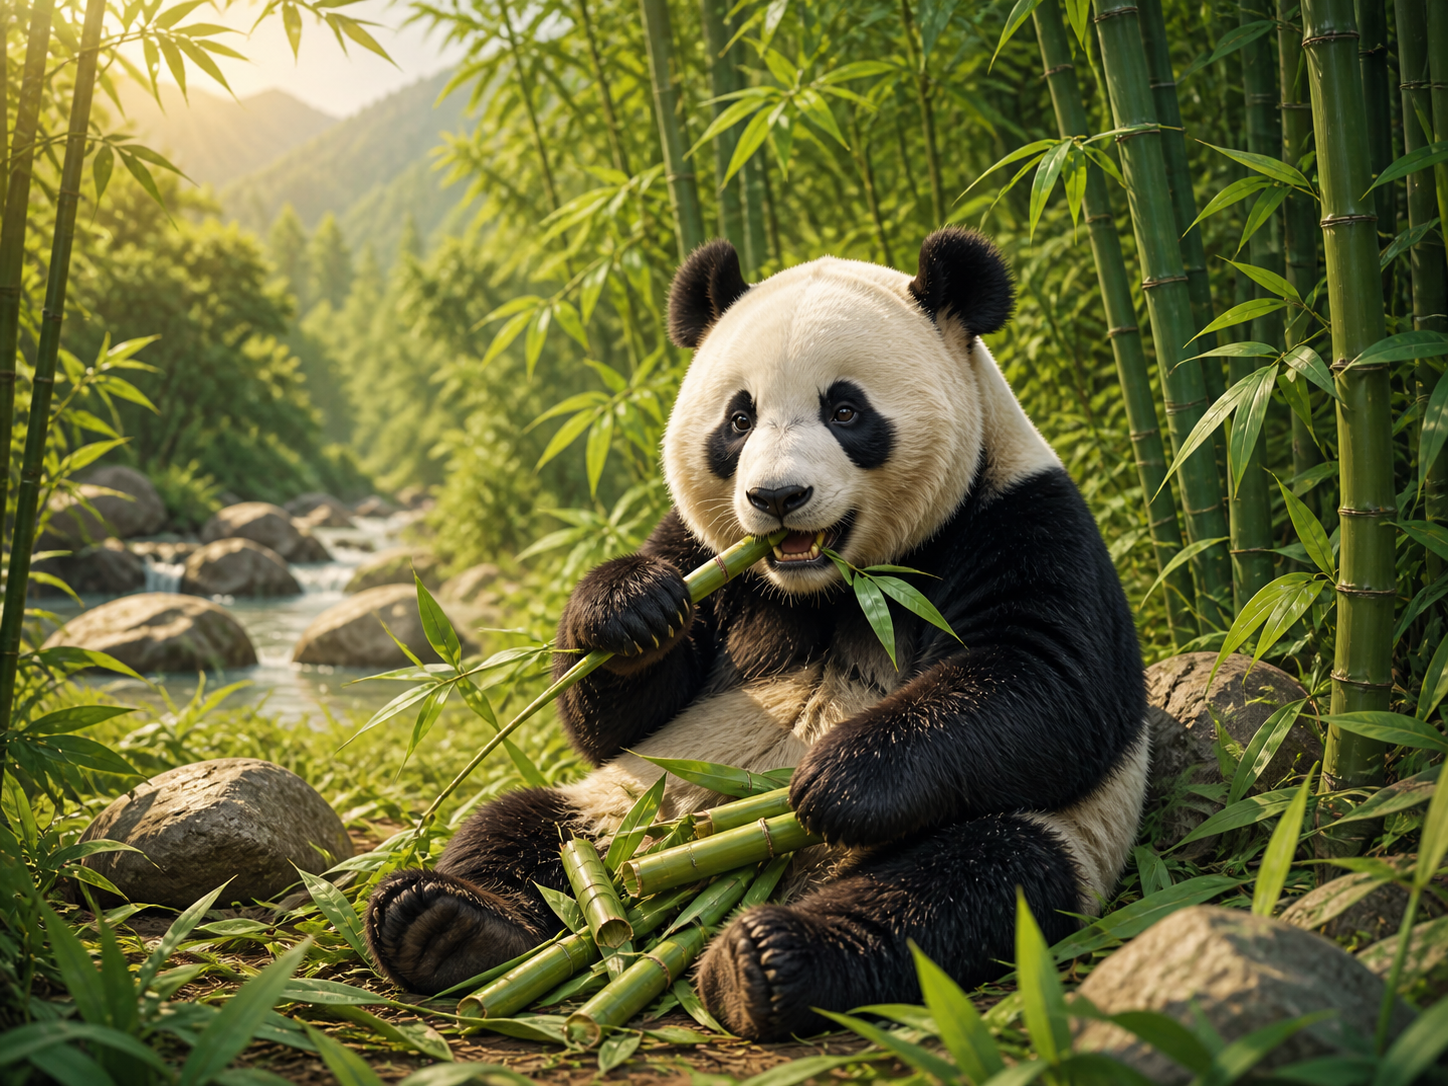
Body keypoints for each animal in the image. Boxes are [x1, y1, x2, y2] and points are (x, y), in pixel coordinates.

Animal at [364, 228, 1149, 1041]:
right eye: (738, 420)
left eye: (845, 409)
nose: (777, 497)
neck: (829, 584)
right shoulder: (704, 553)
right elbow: (609, 718)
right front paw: (631, 610)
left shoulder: (1018, 515)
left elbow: (1049, 679)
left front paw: (836, 777)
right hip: (624, 805)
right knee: (515, 828)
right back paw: (444, 923)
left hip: (1039, 835)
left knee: (962, 885)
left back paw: (765, 960)